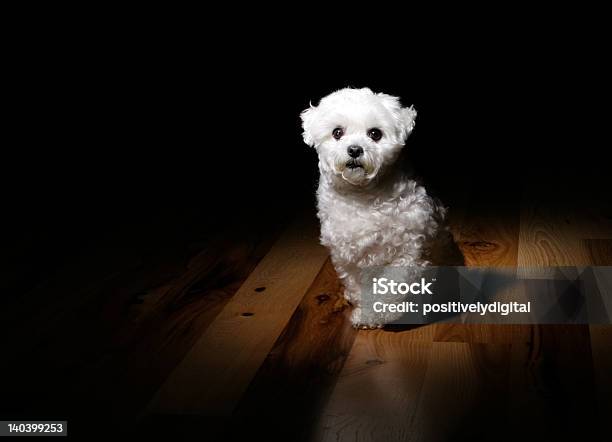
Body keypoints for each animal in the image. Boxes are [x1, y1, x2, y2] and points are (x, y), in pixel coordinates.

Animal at [300, 87, 448, 328]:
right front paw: (363, 308)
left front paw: (375, 315)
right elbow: (357, 284)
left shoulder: (409, 252)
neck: (363, 197)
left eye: (375, 134)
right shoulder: (347, 256)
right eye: (337, 132)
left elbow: (391, 287)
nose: (354, 150)